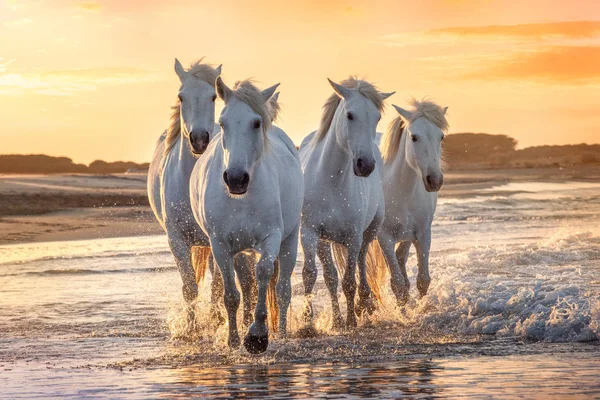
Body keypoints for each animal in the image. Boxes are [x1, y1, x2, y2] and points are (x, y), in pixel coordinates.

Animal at [191, 78, 304, 354]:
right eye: (223, 123)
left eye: (256, 123)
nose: (235, 178)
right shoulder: (220, 244)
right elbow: (232, 294)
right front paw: (233, 340)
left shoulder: (271, 238)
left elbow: (264, 273)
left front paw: (257, 336)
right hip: (241, 251)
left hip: (289, 240)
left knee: (283, 290)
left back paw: (282, 333)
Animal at [298, 77, 394, 328]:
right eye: (350, 115)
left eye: (377, 117)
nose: (365, 165)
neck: (332, 180)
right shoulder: (309, 232)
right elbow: (311, 275)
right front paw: (308, 323)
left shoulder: (353, 236)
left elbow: (350, 279)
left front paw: (351, 319)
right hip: (324, 241)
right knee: (331, 276)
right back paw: (337, 319)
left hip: (368, 232)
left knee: (361, 262)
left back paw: (363, 303)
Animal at [368, 100, 448, 306]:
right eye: (414, 137)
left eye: (441, 136)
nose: (434, 180)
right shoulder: (385, 238)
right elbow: (398, 284)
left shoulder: (422, 233)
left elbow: (422, 280)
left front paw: (421, 308)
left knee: (401, 258)